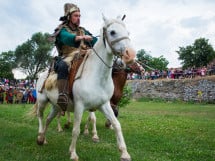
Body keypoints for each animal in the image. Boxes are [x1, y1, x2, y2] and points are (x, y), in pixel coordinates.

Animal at [33, 15, 135, 161]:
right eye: (112, 32)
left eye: (128, 32)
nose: (130, 55)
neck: (96, 76)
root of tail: (41, 75)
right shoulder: (80, 106)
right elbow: (76, 130)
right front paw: (73, 153)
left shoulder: (104, 104)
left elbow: (116, 124)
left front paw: (124, 153)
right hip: (42, 101)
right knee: (40, 116)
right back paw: (40, 136)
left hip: (56, 105)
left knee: (48, 119)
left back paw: (43, 139)